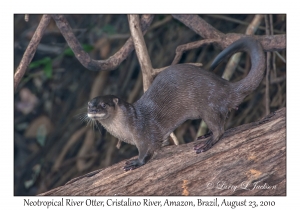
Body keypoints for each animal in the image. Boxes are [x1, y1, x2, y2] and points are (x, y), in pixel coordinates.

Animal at [86, 37, 264, 171]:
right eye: (89, 104)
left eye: (103, 105)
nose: (92, 110)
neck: (128, 126)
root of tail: (226, 87)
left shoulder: (143, 133)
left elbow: (148, 150)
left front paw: (136, 162)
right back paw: (205, 135)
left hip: (208, 104)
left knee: (219, 129)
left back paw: (205, 144)